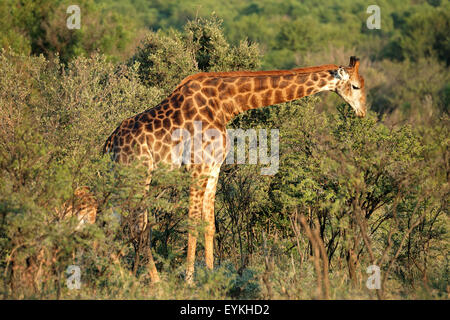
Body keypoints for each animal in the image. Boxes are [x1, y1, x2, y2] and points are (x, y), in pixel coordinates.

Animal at [102, 56, 366, 284]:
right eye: (355, 86)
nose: (363, 112)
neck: (226, 105)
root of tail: (109, 143)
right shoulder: (197, 168)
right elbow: (192, 222)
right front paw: (189, 280)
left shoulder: (213, 168)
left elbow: (209, 224)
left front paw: (210, 276)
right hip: (138, 175)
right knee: (137, 225)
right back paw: (153, 281)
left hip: (121, 177)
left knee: (111, 219)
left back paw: (117, 274)